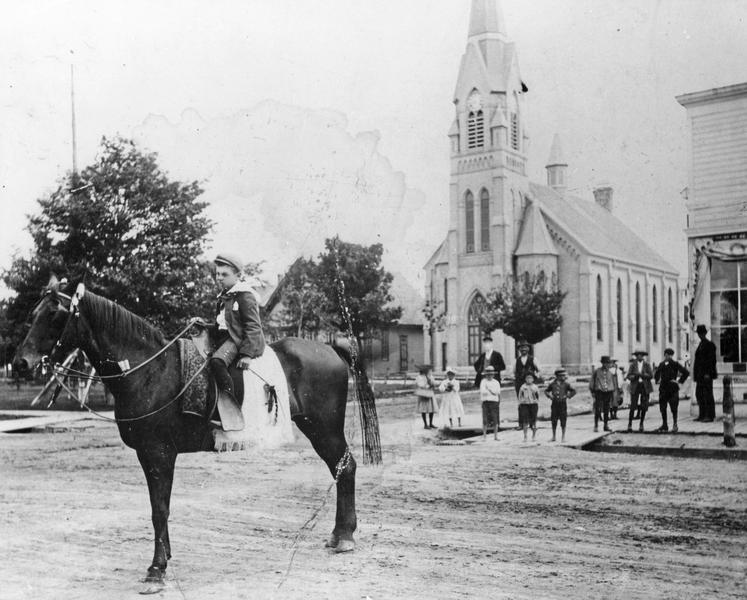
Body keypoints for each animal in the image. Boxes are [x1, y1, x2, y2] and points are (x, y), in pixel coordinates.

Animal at [12, 277, 369, 584]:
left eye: (55, 314)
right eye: (34, 314)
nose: (20, 363)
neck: (149, 370)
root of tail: (331, 349)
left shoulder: (159, 453)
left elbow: (159, 509)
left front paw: (156, 569)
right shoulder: (149, 455)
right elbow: (158, 507)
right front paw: (165, 557)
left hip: (324, 428)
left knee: (346, 466)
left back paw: (345, 536)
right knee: (341, 469)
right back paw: (339, 535)